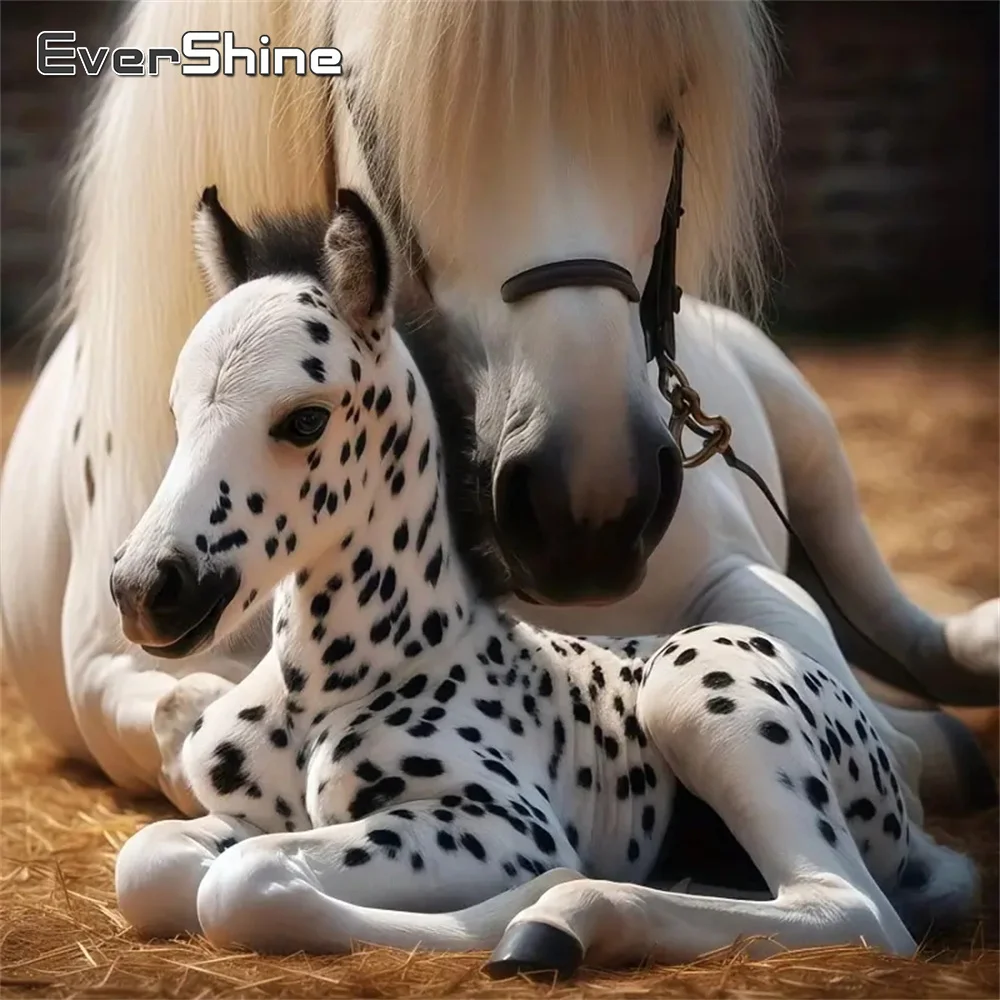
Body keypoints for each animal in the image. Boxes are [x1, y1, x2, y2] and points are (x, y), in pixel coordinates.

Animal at [1, 0, 995, 829]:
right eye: (369, 105)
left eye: (673, 108)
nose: (588, 509)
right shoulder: (117, 669)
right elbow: (192, 714)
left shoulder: (736, 573)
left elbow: (809, 658)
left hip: (818, 467)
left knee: (899, 622)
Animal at [112, 186, 978, 975]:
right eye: (178, 412)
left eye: (305, 419)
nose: (147, 588)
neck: (332, 684)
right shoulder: (248, 812)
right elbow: (152, 861)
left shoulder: (497, 822)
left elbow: (243, 882)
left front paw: (529, 896)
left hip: (701, 686)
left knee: (851, 908)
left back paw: (559, 919)